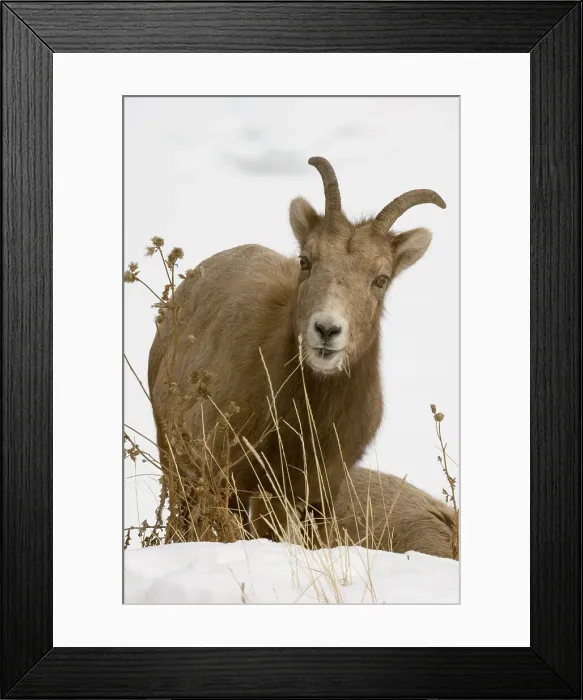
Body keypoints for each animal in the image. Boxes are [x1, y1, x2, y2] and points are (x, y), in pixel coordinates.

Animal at [148, 156, 446, 542]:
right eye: (306, 260)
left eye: (381, 279)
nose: (327, 330)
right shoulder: (238, 485)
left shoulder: (321, 495)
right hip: (178, 468)